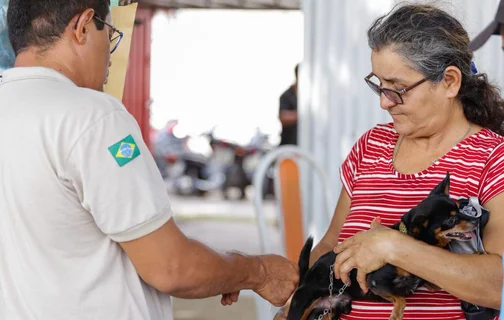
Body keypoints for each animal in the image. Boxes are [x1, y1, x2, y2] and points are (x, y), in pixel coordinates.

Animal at [286, 172, 486, 320]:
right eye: (451, 220)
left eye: (461, 208)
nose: (476, 221)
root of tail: (306, 276)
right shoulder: (376, 282)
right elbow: (401, 299)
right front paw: (397, 313)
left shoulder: (427, 280)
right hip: (301, 306)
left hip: (331, 311)